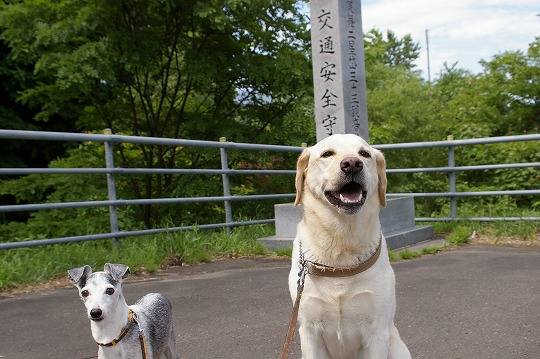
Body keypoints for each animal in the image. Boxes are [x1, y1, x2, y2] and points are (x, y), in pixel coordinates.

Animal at [288, 135, 412, 359]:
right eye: (327, 154)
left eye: (364, 154)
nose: (352, 164)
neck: (342, 241)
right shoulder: (309, 330)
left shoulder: (377, 332)